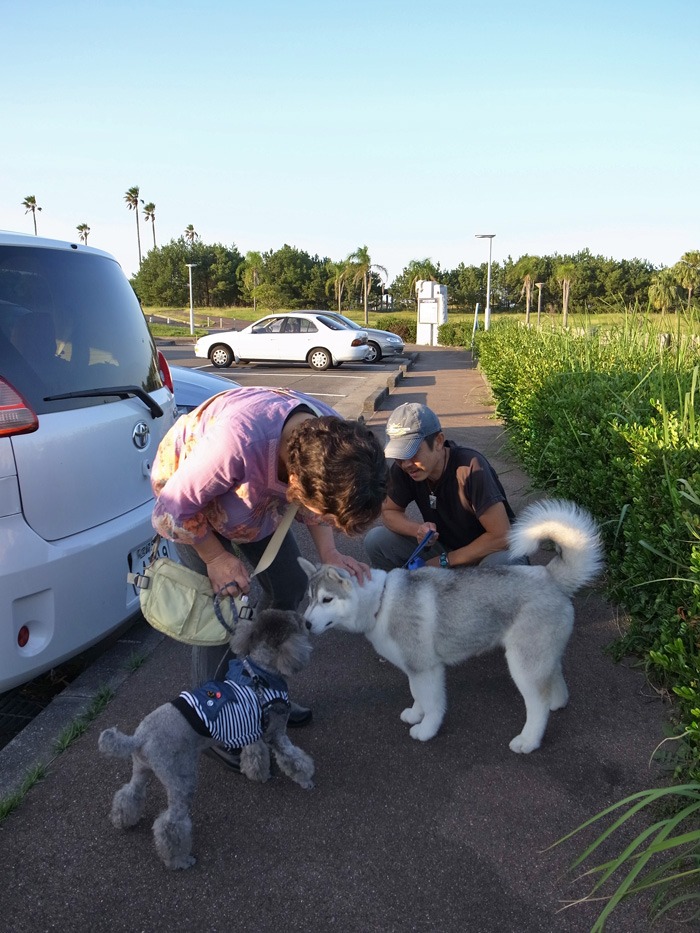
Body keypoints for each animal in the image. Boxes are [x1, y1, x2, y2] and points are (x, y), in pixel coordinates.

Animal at [300, 498, 600, 752]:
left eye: (327, 599)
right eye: (310, 599)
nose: (305, 623)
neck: (381, 601)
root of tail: (549, 576)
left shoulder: (427, 669)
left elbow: (433, 704)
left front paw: (426, 729)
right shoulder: (415, 668)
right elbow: (417, 694)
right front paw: (415, 713)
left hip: (521, 664)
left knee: (536, 705)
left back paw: (528, 740)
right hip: (540, 655)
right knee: (553, 678)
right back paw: (557, 702)